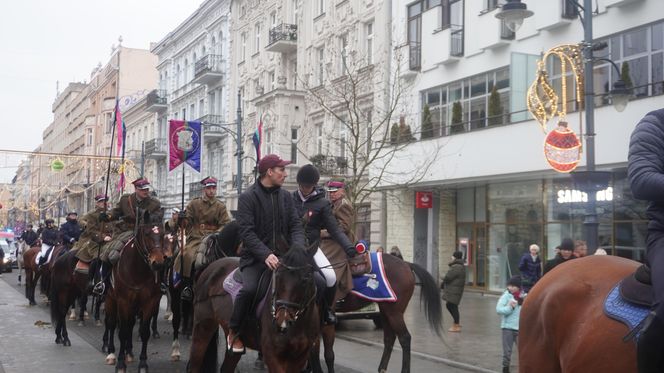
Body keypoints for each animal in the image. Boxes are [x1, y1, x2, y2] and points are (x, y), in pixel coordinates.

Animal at [101, 212, 172, 372]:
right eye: (146, 233)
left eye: (163, 235)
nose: (158, 263)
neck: (138, 270)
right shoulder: (123, 301)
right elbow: (121, 331)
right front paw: (121, 363)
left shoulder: (149, 302)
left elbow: (144, 332)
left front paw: (143, 363)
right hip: (110, 299)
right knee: (111, 323)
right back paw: (111, 353)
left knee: (130, 324)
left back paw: (129, 352)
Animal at [188, 247, 320, 372]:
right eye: (278, 276)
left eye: (305, 279)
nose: (282, 320)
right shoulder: (272, 354)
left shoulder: (299, 358)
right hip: (203, 326)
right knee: (194, 364)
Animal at [312, 254, 446, 372]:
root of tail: (406, 264)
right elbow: (315, 350)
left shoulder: (326, 322)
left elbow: (327, 354)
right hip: (386, 311)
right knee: (389, 338)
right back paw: (382, 368)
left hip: (394, 312)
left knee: (404, 338)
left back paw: (404, 370)